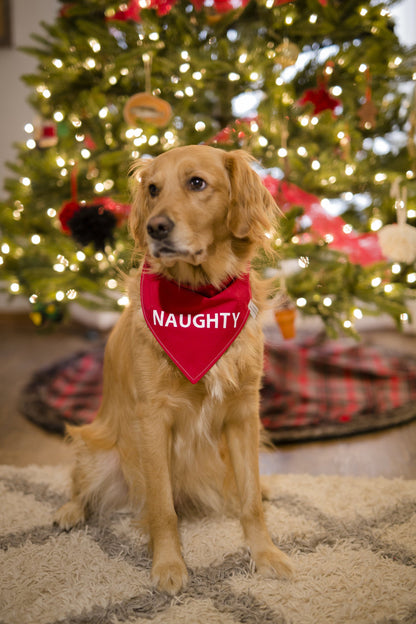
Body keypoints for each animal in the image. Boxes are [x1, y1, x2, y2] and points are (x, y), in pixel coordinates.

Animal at [54, 145, 292, 596]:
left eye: (196, 182)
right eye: (152, 189)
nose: (156, 227)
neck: (201, 297)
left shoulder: (243, 414)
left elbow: (250, 499)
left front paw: (266, 553)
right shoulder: (152, 417)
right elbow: (162, 507)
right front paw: (168, 565)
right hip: (96, 449)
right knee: (80, 485)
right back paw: (69, 512)